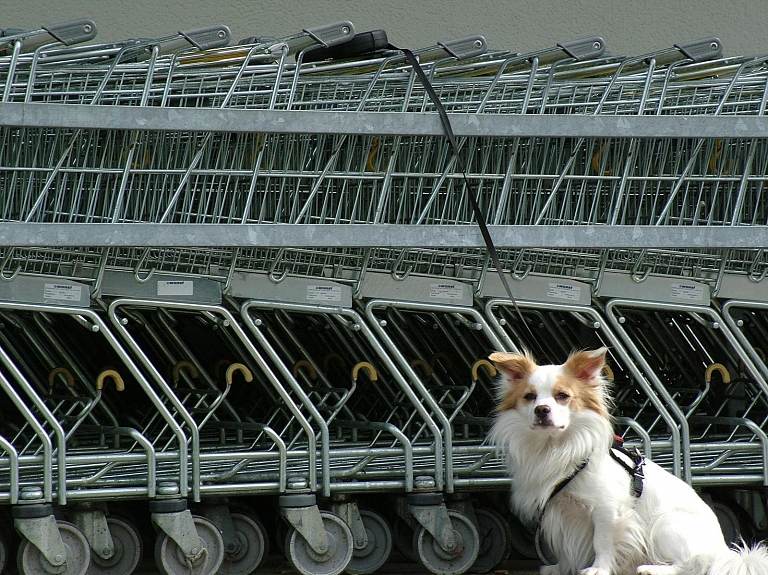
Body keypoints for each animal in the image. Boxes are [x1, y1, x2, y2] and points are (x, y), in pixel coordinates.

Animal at [488, 346, 768, 575]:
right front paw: (561, 567)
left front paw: (599, 569)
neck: (553, 447)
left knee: (693, 564)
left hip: (664, 523)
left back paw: (653, 568)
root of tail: (724, 553)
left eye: (562, 396)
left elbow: (601, 541)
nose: (541, 410)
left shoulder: (607, 509)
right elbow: (564, 546)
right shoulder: (561, 513)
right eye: (529, 397)